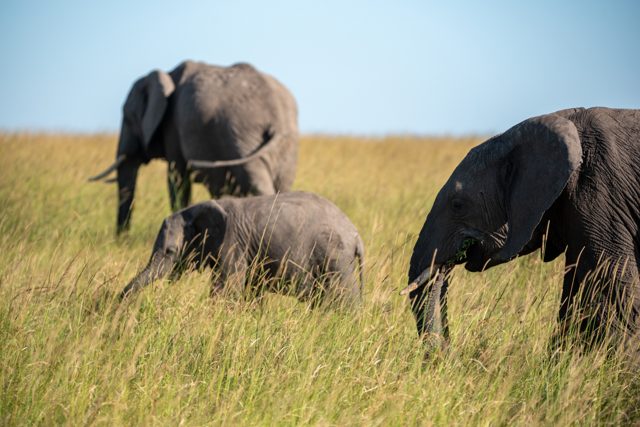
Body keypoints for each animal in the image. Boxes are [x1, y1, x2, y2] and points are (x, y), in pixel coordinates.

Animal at [89, 60, 299, 234]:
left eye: (128, 118)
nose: (120, 241)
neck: (166, 75)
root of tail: (276, 119)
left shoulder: (173, 126)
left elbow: (177, 179)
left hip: (243, 135)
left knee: (256, 184)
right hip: (285, 146)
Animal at [120, 192, 365, 307]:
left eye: (170, 251)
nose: (120, 302)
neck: (193, 210)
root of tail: (356, 235)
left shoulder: (233, 244)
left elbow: (227, 291)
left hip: (336, 259)